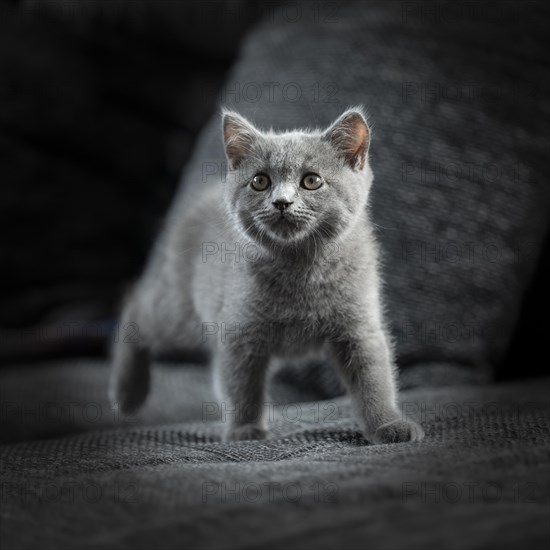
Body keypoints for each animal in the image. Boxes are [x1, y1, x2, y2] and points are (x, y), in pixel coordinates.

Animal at [109, 106, 426, 444]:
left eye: (312, 180)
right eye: (260, 181)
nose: (282, 202)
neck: (301, 268)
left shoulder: (359, 325)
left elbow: (373, 378)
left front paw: (388, 424)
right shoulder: (240, 329)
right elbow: (241, 384)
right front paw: (245, 430)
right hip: (180, 310)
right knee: (137, 308)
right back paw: (128, 393)